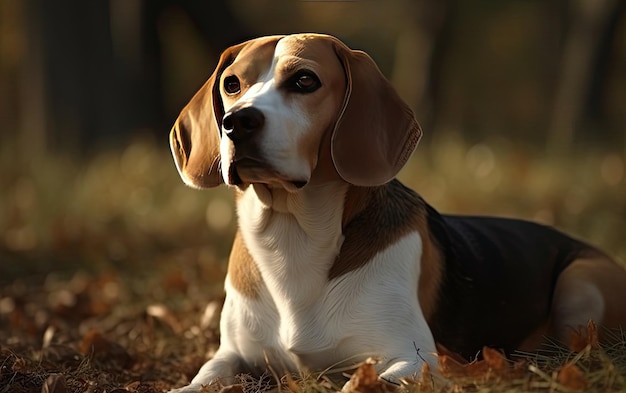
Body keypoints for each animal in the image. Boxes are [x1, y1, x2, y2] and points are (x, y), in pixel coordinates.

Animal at [168, 33, 624, 388]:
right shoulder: (230, 355)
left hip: (581, 283)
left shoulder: (412, 357)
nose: (236, 121)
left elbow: (360, 384)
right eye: (232, 84)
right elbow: (201, 380)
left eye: (304, 80)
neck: (292, 236)